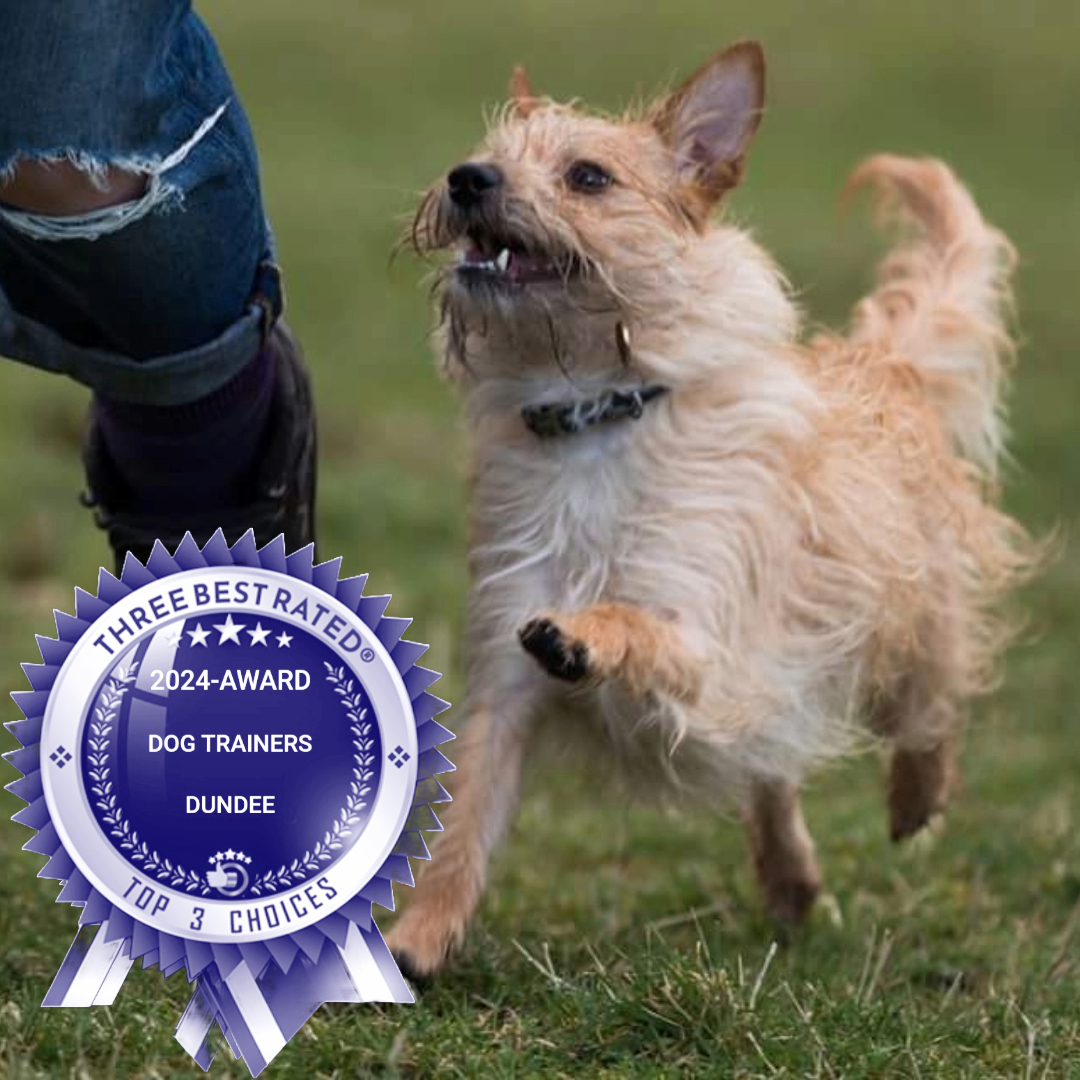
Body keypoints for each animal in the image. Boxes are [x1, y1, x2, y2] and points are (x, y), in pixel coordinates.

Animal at [386, 42, 1036, 976]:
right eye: (485, 156)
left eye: (588, 176)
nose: (467, 178)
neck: (593, 414)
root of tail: (885, 365)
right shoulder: (505, 680)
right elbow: (464, 822)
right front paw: (416, 941)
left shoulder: (708, 637)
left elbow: (634, 620)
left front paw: (584, 634)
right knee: (772, 765)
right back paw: (790, 873)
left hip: (907, 618)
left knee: (931, 700)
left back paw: (917, 791)